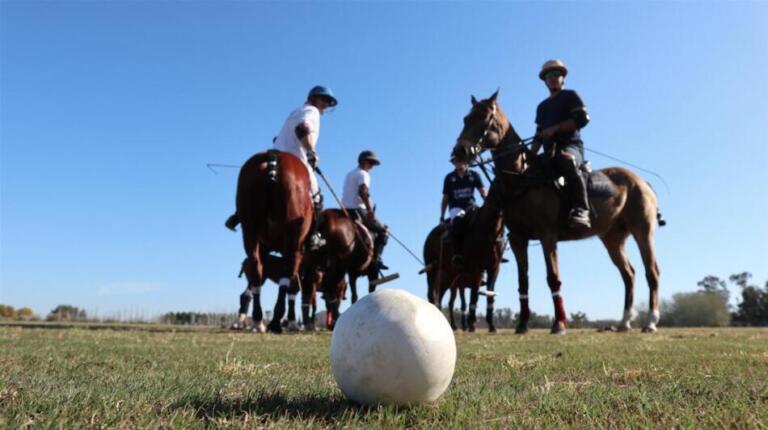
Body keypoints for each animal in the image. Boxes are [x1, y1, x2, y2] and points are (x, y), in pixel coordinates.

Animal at [237, 149, 316, 334]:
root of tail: (272, 156)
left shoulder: (264, 246)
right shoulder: (299, 252)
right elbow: (292, 285)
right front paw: (291, 322)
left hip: (249, 230)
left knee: (255, 270)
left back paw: (258, 320)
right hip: (292, 237)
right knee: (285, 272)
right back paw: (273, 322)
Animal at [424, 204, 508, 332]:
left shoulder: (493, 268)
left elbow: (489, 294)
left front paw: (490, 324)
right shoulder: (473, 274)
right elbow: (471, 298)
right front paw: (470, 324)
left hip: (450, 278)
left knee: (440, 298)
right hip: (433, 271)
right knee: (433, 296)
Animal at [452, 90, 664, 332]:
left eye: (485, 118)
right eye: (466, 119)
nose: (459, 151)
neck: (522, 178)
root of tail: (643, 182)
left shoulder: (548, 236)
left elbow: (553, 277)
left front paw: (559, 323)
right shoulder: (518, 239)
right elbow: (523, 281)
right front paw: (522, 324)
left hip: (643, 230)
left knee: (652, 271)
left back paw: (650, 321)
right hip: (613, 238)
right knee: (629, 275)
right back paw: (624, 322)